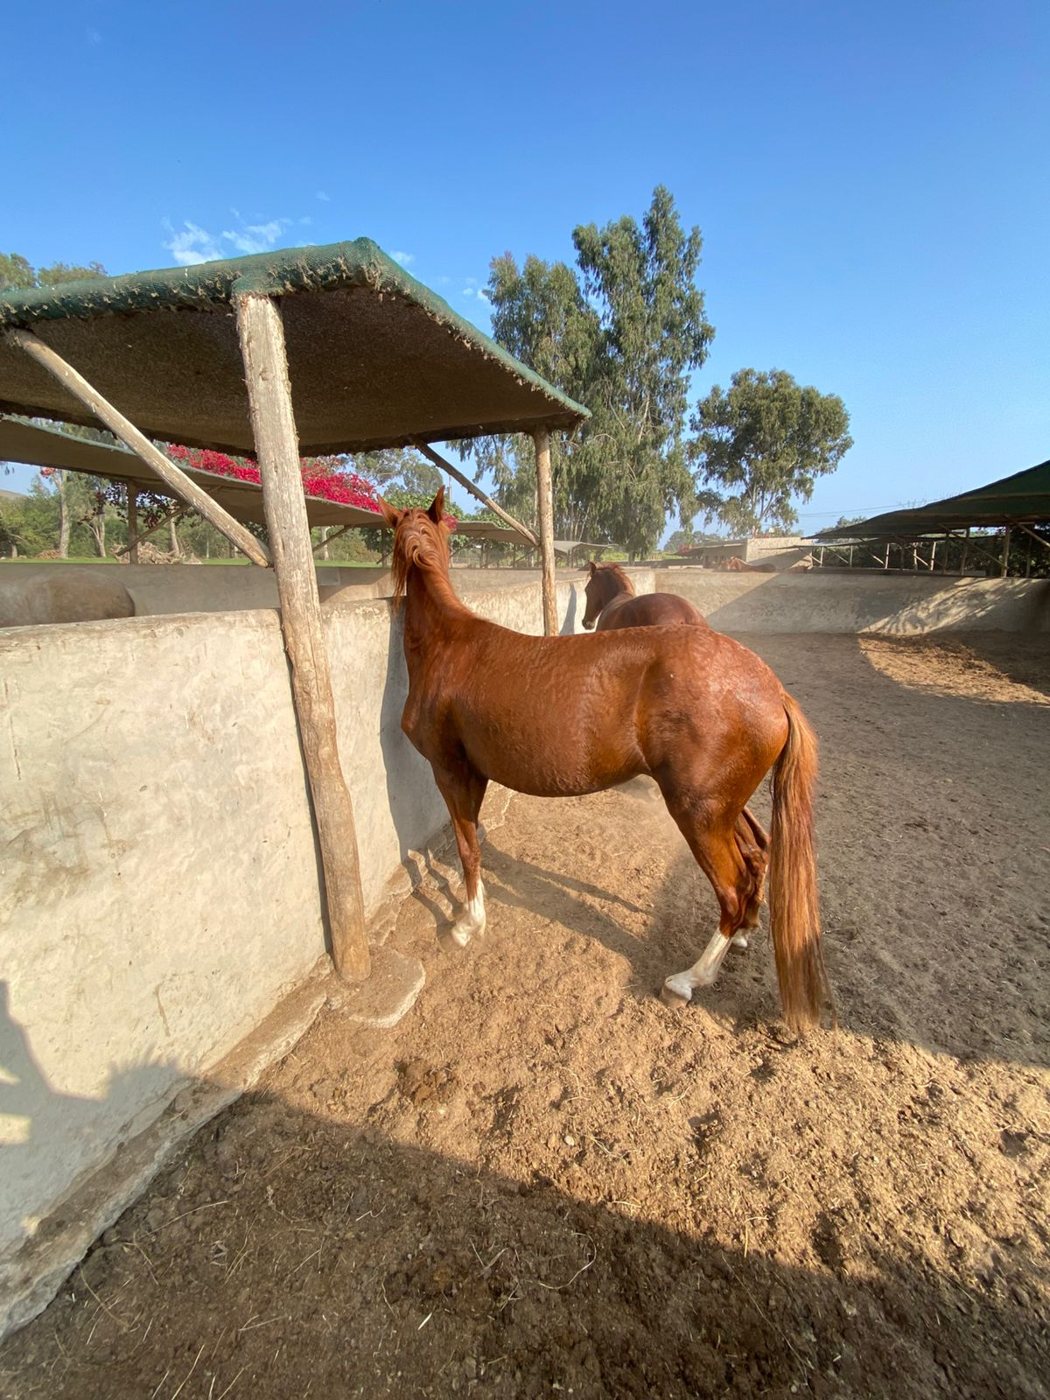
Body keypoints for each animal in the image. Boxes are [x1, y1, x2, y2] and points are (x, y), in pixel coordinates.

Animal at [379, 490, 829, 1032]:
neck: (448, 645)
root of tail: (772, 690)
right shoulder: (474, 775)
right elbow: (475, 845)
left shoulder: (450, 770)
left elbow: (467, 849)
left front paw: (467, 925)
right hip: (723, 807)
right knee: (758, 855)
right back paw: (744, 932)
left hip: (698, 815)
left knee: (733, 886)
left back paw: (688, 980)